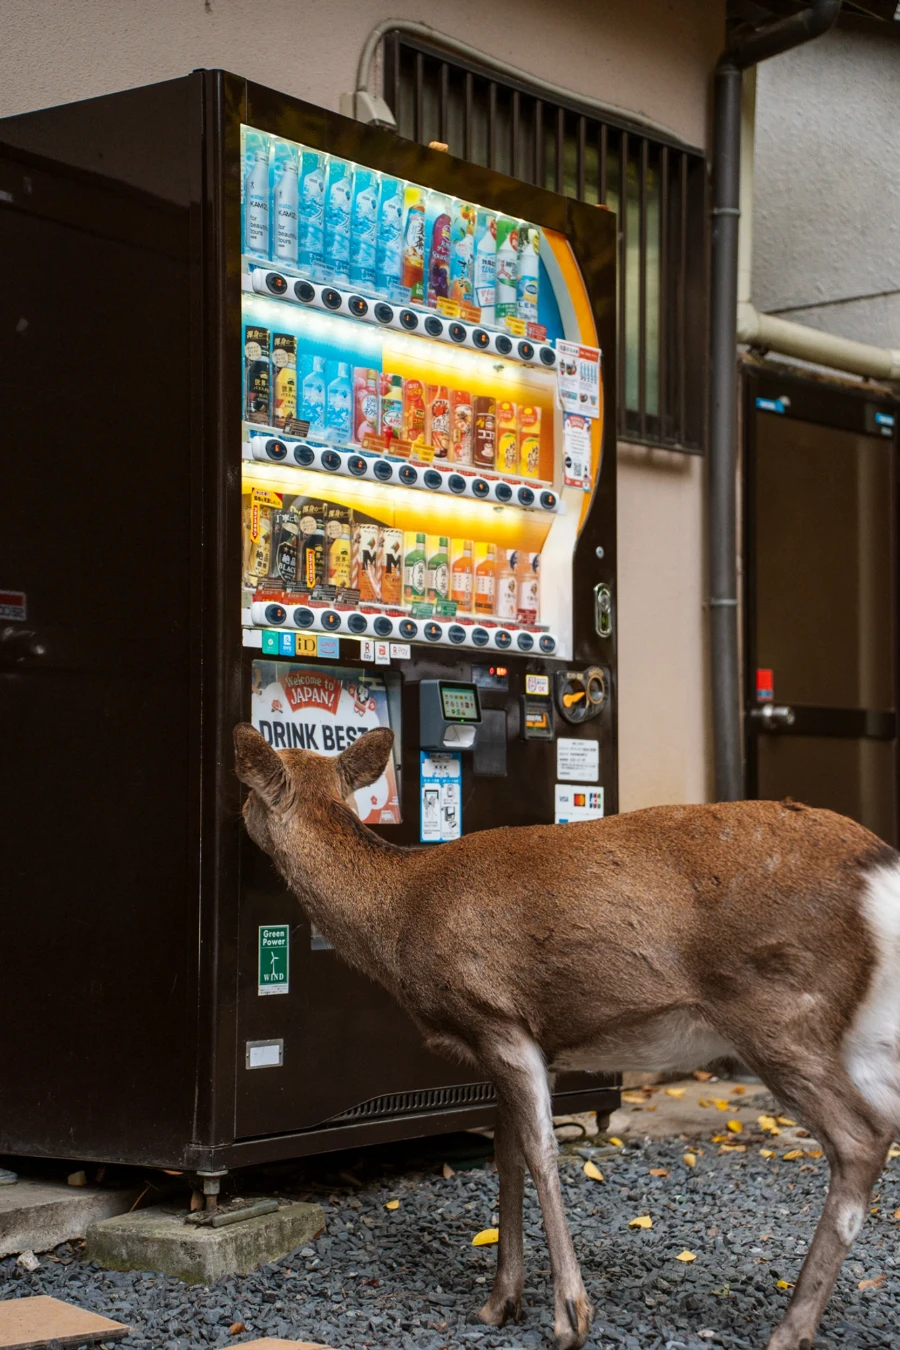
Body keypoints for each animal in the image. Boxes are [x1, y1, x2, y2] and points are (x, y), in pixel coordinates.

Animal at [234, 721, 900, 1350]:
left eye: (246, 794)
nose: (237, 820)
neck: (400, 915)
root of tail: (881, 871)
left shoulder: (496, 1020)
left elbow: (541, 1153)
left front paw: (570, 1316)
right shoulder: (526, 1045)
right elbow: (505, 1158)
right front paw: (500, 1303)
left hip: (780, 1010)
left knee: (861, 1139)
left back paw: (790, 1329)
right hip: (863, 1034)